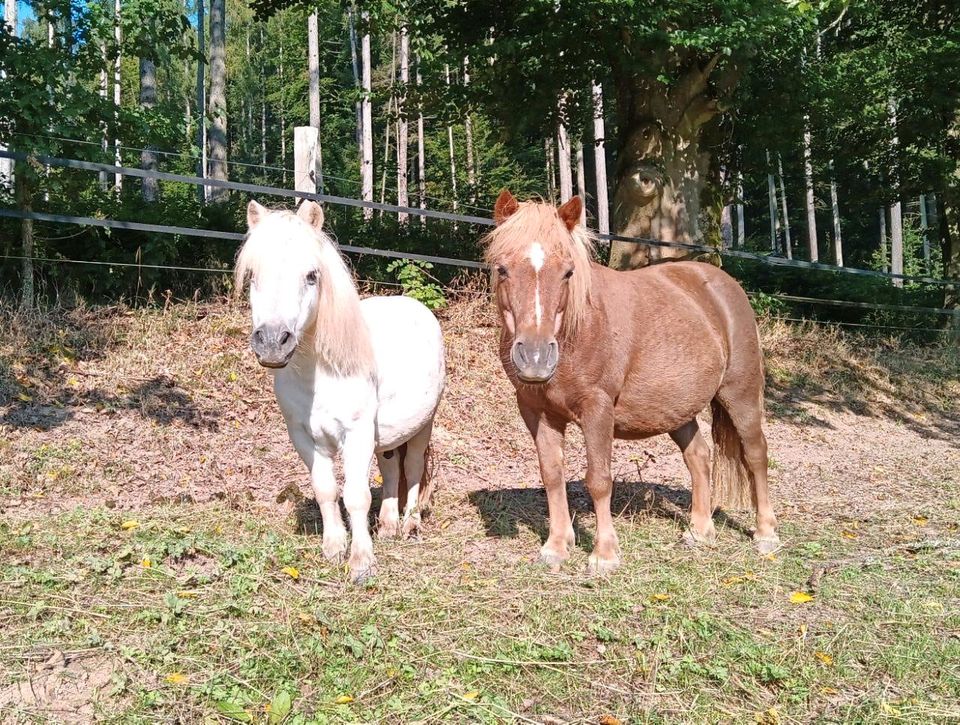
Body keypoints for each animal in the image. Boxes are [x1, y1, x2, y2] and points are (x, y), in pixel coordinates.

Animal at [236, 199, 446, 584]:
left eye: (311, 275)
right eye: (254, 275)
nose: (272, 342)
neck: (319, 375)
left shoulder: (356, 433)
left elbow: (356, 496)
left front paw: (361, 562)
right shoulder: (303, 436)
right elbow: (326, 489)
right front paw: (334, 547)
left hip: (424, 424)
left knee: (412, 467)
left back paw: (410, 525)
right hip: (386, 436)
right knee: (390, 469)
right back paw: (389, 526)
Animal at [488, 189, 780, 576]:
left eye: (568, 272)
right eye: (502, 269)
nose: (536, 357)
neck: (579, 330)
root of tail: (724, 285)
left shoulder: (598, 409)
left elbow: (599, 480)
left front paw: (604, 554)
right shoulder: (537, 412)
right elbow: (551, 474)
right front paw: (557, 546)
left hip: (740, 394)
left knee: (756, 454)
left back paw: (766, 534)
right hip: (676, 410)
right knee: (699, 457)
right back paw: (699, 531)